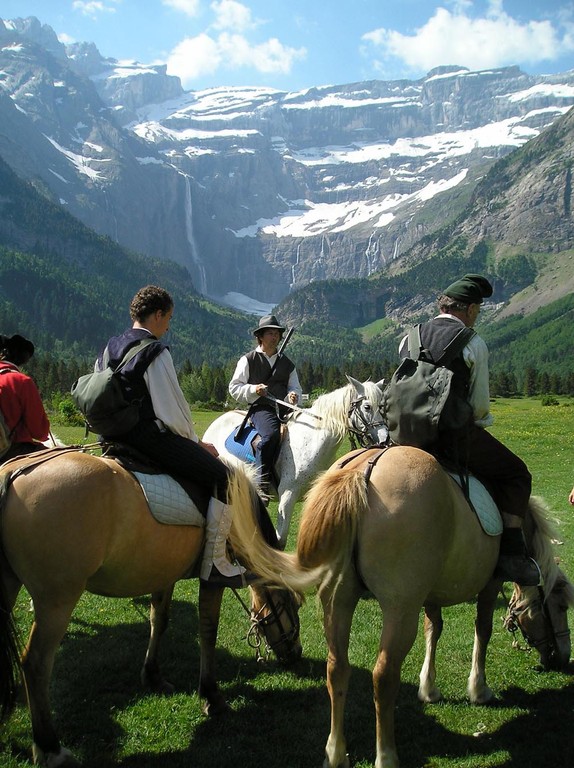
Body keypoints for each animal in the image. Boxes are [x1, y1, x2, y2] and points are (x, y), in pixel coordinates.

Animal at [0, 450, 316, 768]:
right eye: (293, 604)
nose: (296, 652)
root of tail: (13, 473)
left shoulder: (163, 573)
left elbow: (159, 620)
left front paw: (152, 675)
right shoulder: (211, 581)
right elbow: (208, 632)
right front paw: (211, 695)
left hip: (13, 587)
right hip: (57, 601)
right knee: (36, 663)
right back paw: (49, 747)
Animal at [202, 376, 388, 544]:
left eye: (381, 407)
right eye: (367, 406)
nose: (385, 439)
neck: (311, 441)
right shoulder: (287, 496)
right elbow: (280, 541)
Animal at [296, 448, 574, 764]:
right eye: (561, 607)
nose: (562, 656)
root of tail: (363, 470)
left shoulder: (429, 593)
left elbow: (434, 628)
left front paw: (428, 688)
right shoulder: (490, 585)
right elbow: (483, 630)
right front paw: (479, 689)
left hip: (337, 601)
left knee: (337, 668)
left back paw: (335, 752)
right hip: (400, 609)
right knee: (384, 676)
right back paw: (386, 755)